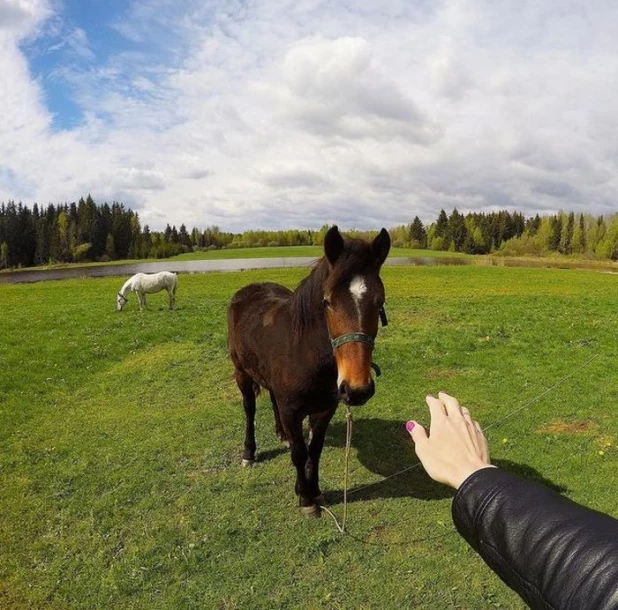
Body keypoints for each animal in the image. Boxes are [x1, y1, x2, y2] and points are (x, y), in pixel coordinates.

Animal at [226, 227, 390, 512]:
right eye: (327, 301)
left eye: (379, 301)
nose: (357, 389)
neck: (306, 354)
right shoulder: (292, 411)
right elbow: (299, 453)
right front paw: (305, 498)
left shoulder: (324, 410)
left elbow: (314, 450)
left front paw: (314, 492)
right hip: (242, 373)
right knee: (249, 409)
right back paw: (249, 452)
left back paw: (281, 434)